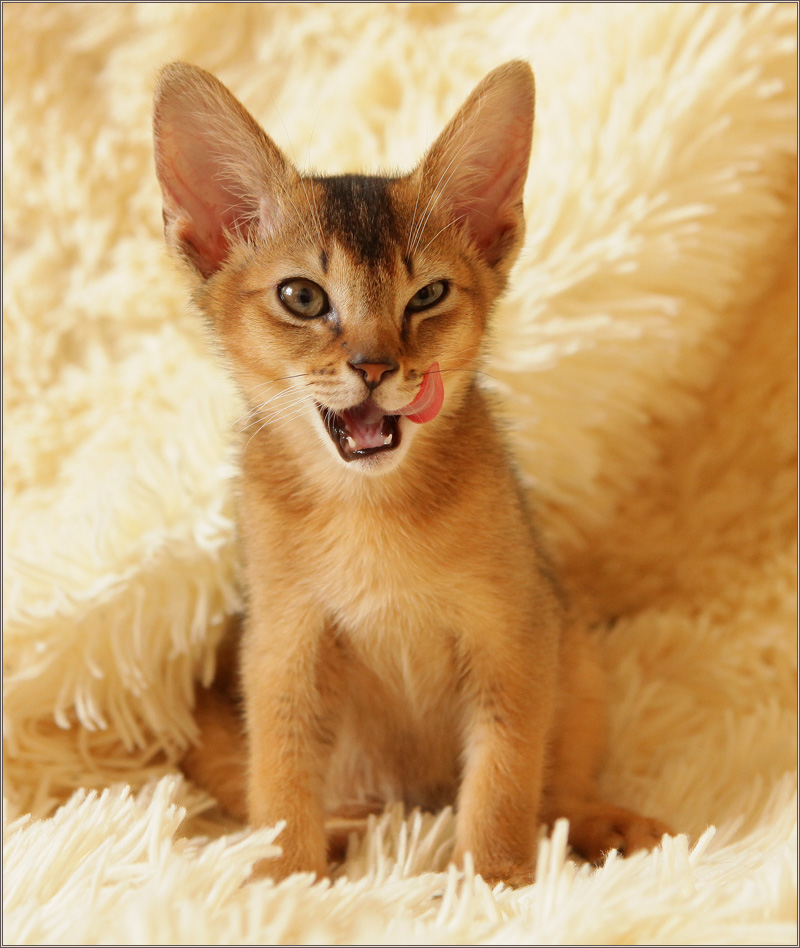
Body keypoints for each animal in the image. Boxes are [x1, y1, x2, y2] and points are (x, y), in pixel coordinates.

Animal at [153, 59, 672, 885]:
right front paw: (281, 883)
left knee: (556, 789)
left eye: (427, 294)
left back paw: (602, 823)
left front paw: (490, 884)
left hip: (577, 656)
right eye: (302, 296)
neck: (372, 512)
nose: (373, 367)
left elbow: (503, 778)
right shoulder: (282, 647)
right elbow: (280, 781)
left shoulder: (515, 634)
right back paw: (344, 829)